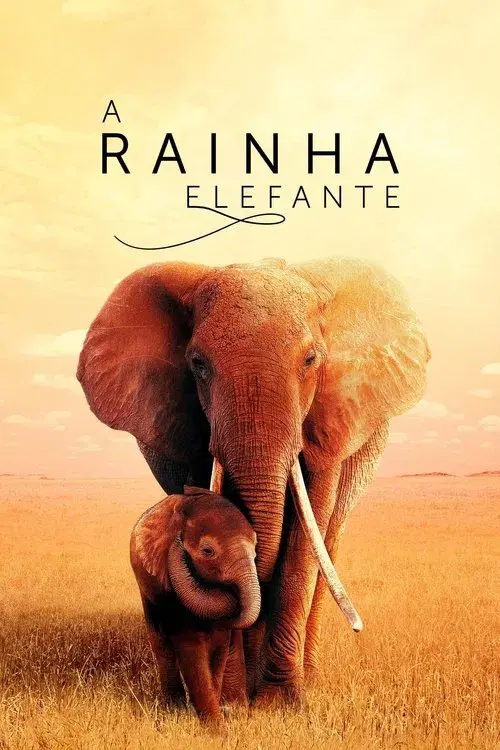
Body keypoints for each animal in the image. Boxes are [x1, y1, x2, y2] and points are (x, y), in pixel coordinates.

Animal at [130, 485, 260, 721]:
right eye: (208, 551)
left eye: (255, 550)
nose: (178, 541)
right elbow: (190, 645)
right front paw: (214, 727)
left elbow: (219, 646)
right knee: (161, 644)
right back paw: (173, 709)